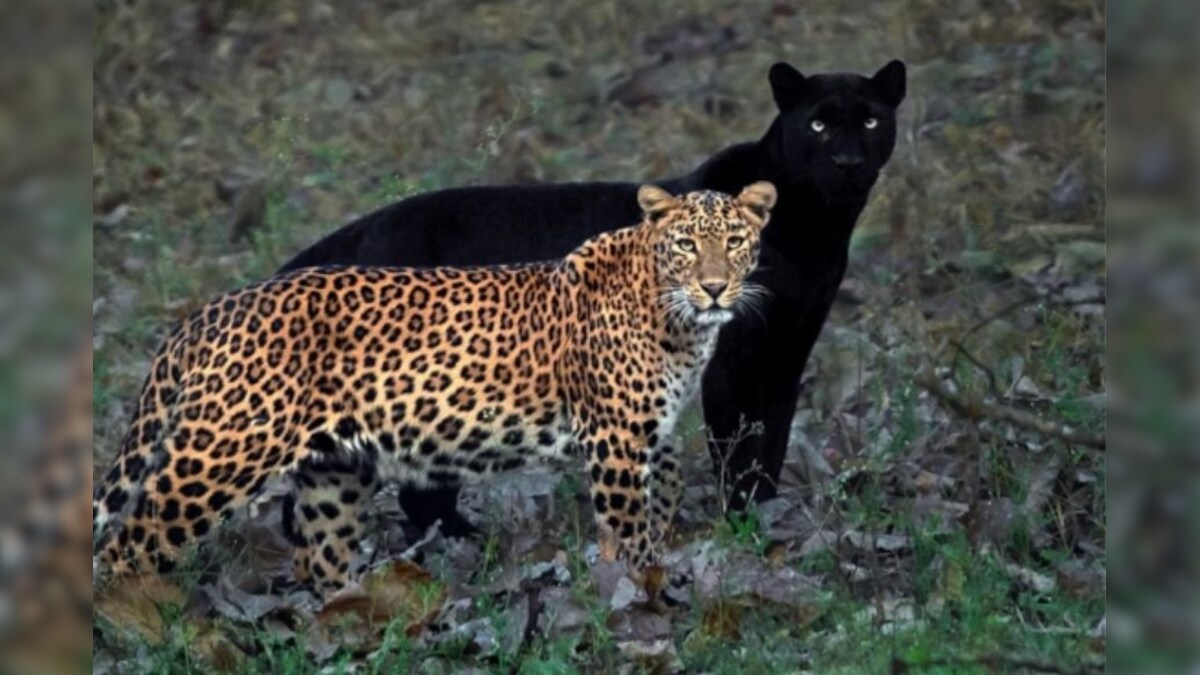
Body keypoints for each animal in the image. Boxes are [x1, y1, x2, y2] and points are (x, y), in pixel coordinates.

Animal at [92, 182, 777, 595]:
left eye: (734, 242)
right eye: (686, 244)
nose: (715, 287)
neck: (680, 322)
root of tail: (207, 314)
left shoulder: (648, 436)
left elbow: (661, 502)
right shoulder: (615, 439)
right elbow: (630, 528)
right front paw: (642, 596)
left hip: (335, 474)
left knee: (320, 557)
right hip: (218, 457)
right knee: (127, 545)